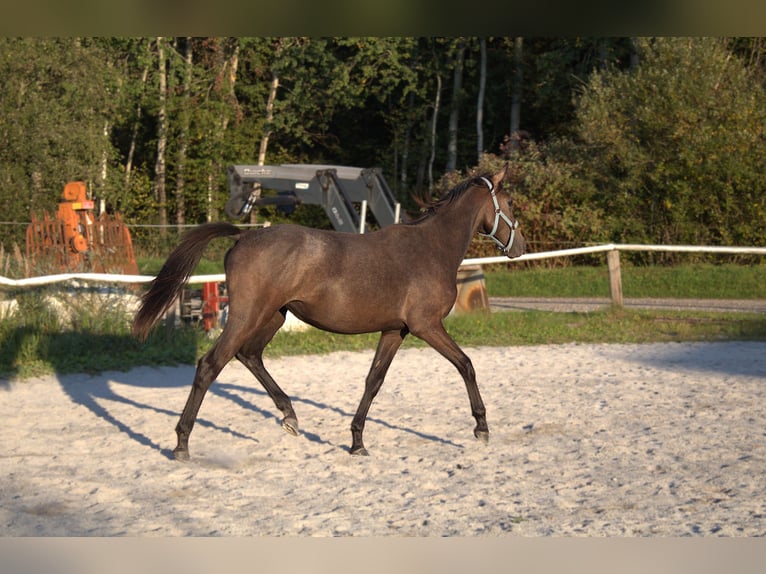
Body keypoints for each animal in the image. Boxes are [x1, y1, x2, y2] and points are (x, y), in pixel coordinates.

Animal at [132, 167, 526, 460]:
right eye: (509, 202)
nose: (519, 247)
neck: (431, 248)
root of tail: (243, 237)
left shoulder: (394, 330)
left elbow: (373, 381)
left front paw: (357, 442)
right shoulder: (426, 325)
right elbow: (466, 365)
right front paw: (481, 428)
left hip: (273, 316)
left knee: (249, 355)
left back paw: (290, 416)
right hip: (246, 316)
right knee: (210, 365)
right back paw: (182, 443)